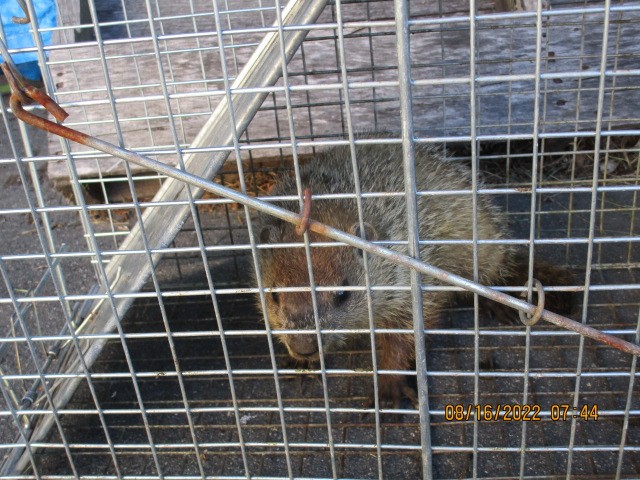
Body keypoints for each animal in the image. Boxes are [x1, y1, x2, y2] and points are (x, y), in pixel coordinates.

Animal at [254, 139, 573, 406]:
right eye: (274, 296)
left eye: (342, 294)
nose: (303, 346)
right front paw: (303, 363)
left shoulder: (408, 275)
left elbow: (405, 332)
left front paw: (389, 386)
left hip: (484, 240)